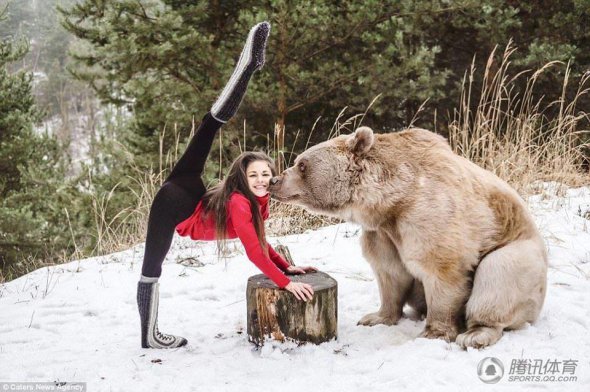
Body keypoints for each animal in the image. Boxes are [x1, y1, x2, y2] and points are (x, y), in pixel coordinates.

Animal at [272, 126, 552, 350]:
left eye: (302, 164)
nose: (275, 180)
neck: (392, 201)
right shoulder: (382, 232)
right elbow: (390, 272)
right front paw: (374, 317)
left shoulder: (429, 214)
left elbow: (442, 269)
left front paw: (434, 333)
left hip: (521, 255)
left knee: (499, 275)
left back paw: (476, 334)